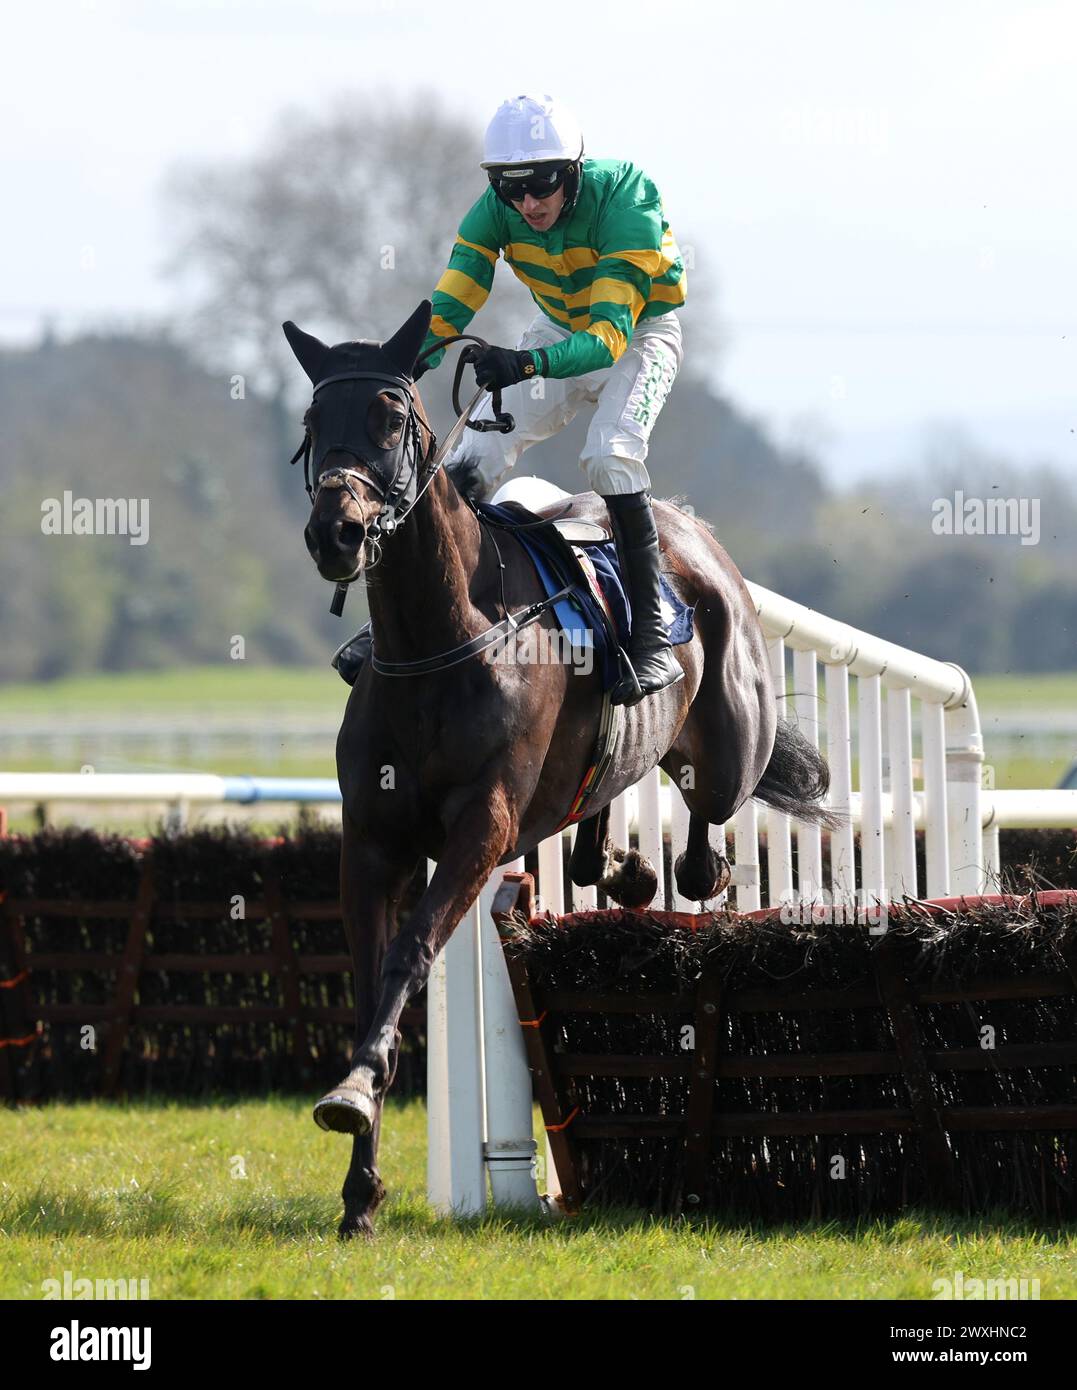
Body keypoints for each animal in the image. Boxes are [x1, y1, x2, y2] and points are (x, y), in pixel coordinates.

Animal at [280, 298, 833, 1234]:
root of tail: (693, 533)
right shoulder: (373, 837)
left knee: (704, 833)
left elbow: (410, 955)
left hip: (728, 748)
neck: (438, 640)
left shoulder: (482, 825)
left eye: (391, 419)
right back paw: (621, 866)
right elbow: (367, 979)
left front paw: (352, 1097)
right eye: (315, 424)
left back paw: (682, 862)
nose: (337, 533)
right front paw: (360, 1187)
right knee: (597, 822)